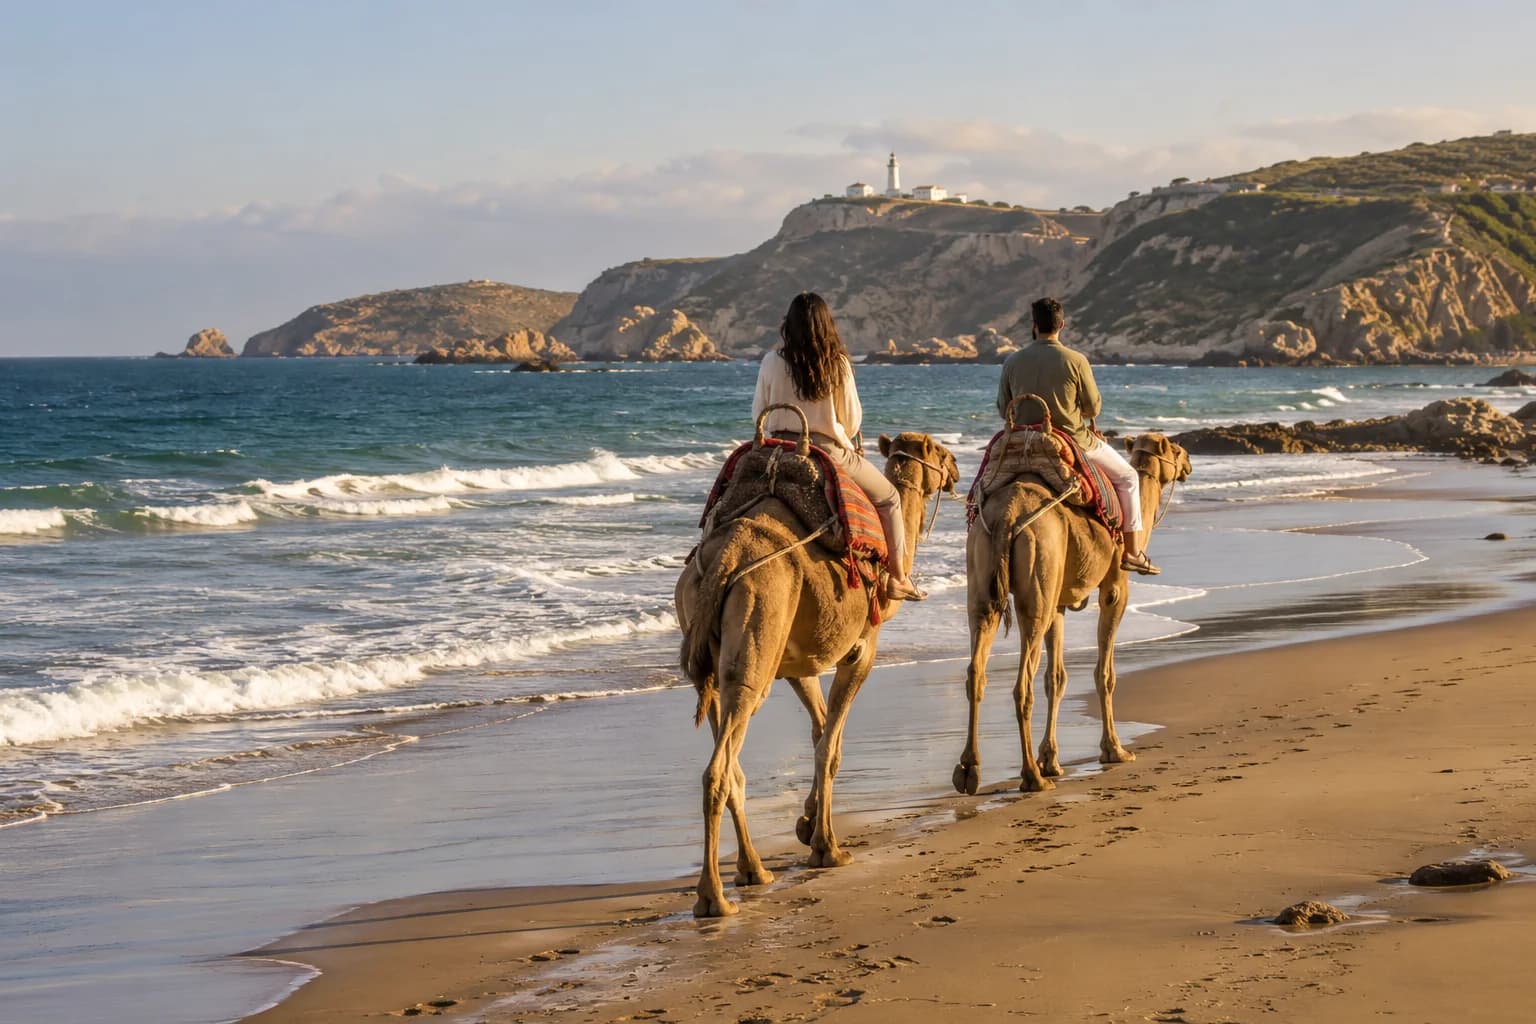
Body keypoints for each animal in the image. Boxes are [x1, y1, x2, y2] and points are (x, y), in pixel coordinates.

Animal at [677, 425, 959, 918]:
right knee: (720, 765)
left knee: (730, 762)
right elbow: (830, 747)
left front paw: (808, 824)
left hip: (714, 664)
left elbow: (821, 730)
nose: (958, 469)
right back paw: (714, 898)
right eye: (940, 452)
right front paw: (828, 847)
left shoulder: (797, 663)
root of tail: (729, 555)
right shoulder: (861, 649)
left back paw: (753, 870)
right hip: (758, 630)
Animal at [953, 430, 1191, 795]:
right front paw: (1114, 750)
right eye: (1176, 450)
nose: (1188, 463)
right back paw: (1032, 778)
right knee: (1023, 682)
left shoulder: (1059, 603)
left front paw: (1051, 759)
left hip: (983, 576)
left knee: (976, 671)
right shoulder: (1115, 586)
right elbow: (1104, 673)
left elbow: (1057, 678)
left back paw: (969, 771)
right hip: (1039, 570)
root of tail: (1008, 515)